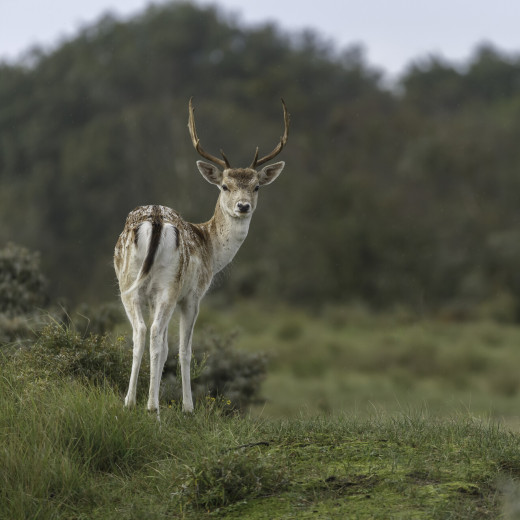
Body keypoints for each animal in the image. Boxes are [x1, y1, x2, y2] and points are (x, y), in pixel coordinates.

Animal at [113, 97, 288, 414]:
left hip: (129, 284)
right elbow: (184, 349)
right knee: (155, 335)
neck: (211, 248)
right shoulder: (193, 295)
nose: (243, 206)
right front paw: (188, 407)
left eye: (256, 186)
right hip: (169, 287)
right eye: (225, 186)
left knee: (141, 332)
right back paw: (153, 409)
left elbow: (164, 345)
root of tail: (155, 221)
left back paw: (130, 403)